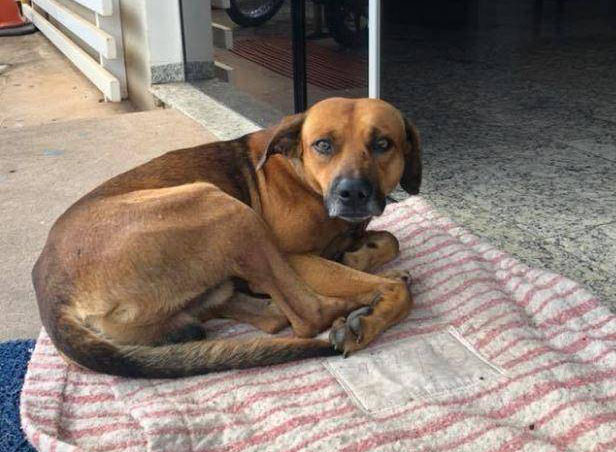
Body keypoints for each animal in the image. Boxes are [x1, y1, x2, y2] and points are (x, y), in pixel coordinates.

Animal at [31, 98, 422, 378]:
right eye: (323, 145)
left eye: (383, 144)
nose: (352, 193)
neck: (301, 175)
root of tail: (50, 287)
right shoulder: (293, 257)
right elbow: (386, 283)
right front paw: (373, 309)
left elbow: (390, 239)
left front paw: (358, 256)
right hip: (223, 207)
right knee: (310, 315)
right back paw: (362, 304)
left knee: (271, 316)